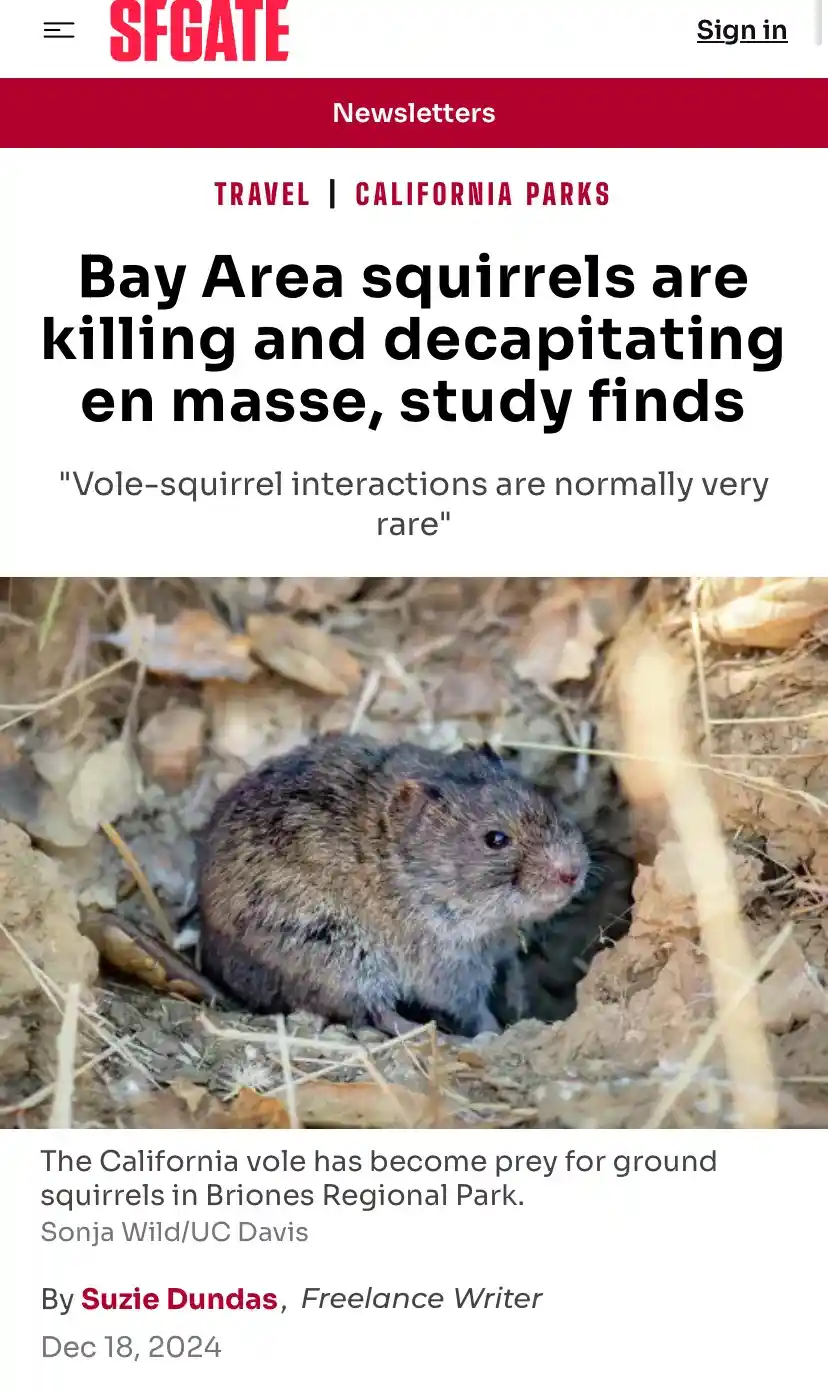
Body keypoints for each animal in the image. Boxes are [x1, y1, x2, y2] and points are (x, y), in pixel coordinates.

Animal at [197, 734, 589, 1038]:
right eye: (495, 839)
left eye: (543, 800)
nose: (573, 872)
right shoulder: (446, 963)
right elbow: (470, 1007)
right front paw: (494, 1032)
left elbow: (512, 965)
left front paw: (519, 999)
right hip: (335, 954)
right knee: (375, 1012)